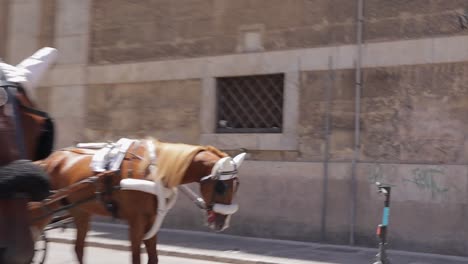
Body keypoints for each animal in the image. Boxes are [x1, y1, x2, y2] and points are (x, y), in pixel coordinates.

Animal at [30, 138, 245, 264]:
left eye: (237, 185)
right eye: (221, 186)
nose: (222, 223)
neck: (151, 171)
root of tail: (48, 160)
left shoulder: (152, 220)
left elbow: (153, 257)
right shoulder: (136, 221)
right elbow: (136, 258)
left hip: (80, 210)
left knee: (78, 248)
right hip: (46, 209)